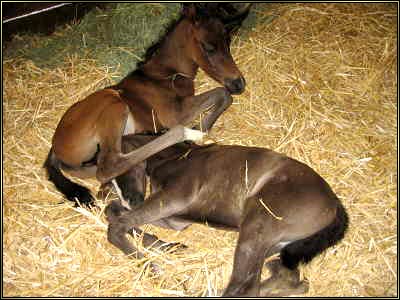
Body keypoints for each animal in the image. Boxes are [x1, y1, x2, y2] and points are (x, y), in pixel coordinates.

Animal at [43, 3, 250, 206]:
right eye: (208, 47)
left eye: (228, 42)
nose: (239, 83)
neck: (163, 75)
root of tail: (55, 146)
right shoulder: (175, 113)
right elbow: (222, 94)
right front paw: (198, 129)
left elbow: (224, 96)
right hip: (114, 104)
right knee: (109, 165)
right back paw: (185, 134)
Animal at [105, 135, 346, 296]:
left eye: (119, 170)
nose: (132, 200)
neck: (176, 156)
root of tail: (335, 205)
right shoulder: (176, 219)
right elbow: (113, 210)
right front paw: (170, 247)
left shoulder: (176, 196)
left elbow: (117, 226)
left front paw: (154, 269)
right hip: (273, 244)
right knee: (286, 278)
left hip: (259, 224)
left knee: (245, 287)